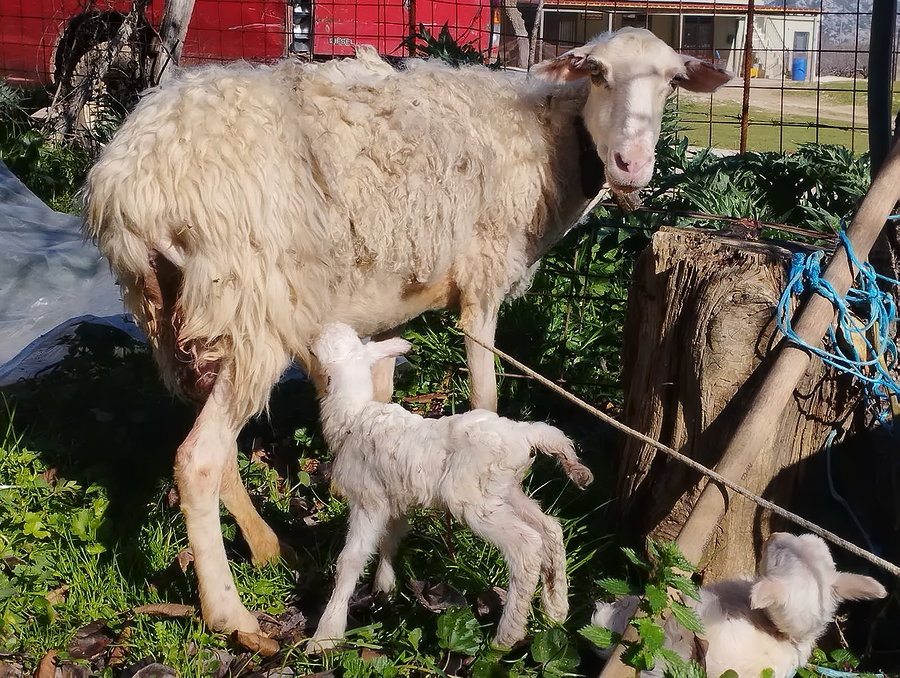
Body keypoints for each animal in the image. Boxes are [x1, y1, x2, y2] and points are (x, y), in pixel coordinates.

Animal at [307, 322, 593, 650]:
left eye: (320, 350)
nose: (312, 338)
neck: (353, 415)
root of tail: (526, 435)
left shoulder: (369, 499)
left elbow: (351, 559)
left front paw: (326, 634)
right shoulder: (397, 498)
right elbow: (391, 538)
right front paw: (385, 586)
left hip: (471, 498)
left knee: (527, 545)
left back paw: (507, 635)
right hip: (503, 490)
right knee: (550, 529)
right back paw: (555, 609)